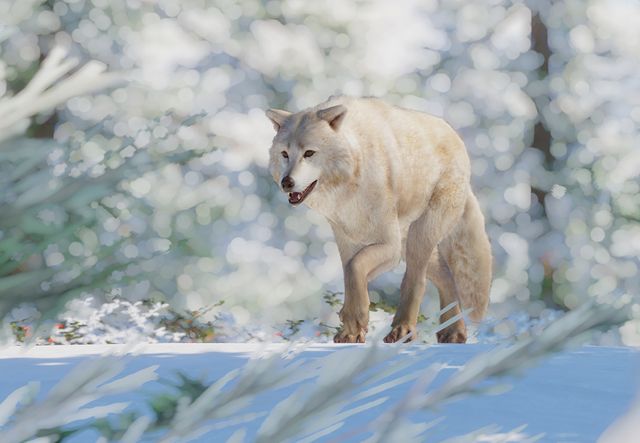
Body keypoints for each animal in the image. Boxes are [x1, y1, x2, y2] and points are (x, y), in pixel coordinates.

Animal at [264, 97, 490, 346]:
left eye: (309, 153)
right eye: (285, 154)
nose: (287, 182)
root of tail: (454, 135)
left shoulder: (389, 246)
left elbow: (355, 268)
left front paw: (356, 319)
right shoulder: (347, 239)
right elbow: (350, 275)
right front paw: (351, 330)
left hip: (417, 236)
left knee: (416, 280)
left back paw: (403, 330)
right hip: (409, 243)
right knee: (447, 276)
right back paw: (453, 333)